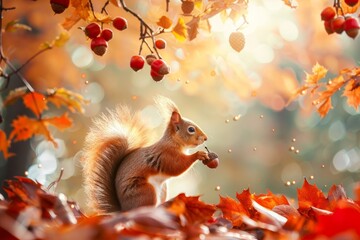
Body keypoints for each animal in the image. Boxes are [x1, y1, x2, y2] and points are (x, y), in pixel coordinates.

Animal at [81, 96, 210, 214]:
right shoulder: (166, 154)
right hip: (146, 191)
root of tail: (124, 210)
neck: (174, 142)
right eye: (191, 129)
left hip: (163, 189)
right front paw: (198, 154)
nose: (205, 138)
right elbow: (177, 166)